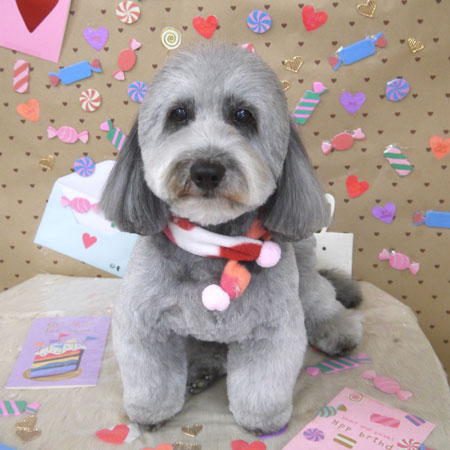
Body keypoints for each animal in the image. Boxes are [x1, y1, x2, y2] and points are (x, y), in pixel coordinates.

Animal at [100, 43, 363, 435]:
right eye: (179, 114)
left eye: (243, 116)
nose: (206, 170)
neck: (212, 247)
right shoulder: (143, 319)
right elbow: (151, 377)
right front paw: (150, 412)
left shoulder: (274, 325)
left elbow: (262, 382)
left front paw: (262, 420)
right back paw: (202, 369)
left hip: (303, 275)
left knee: (321, 298)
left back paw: (339, 330)